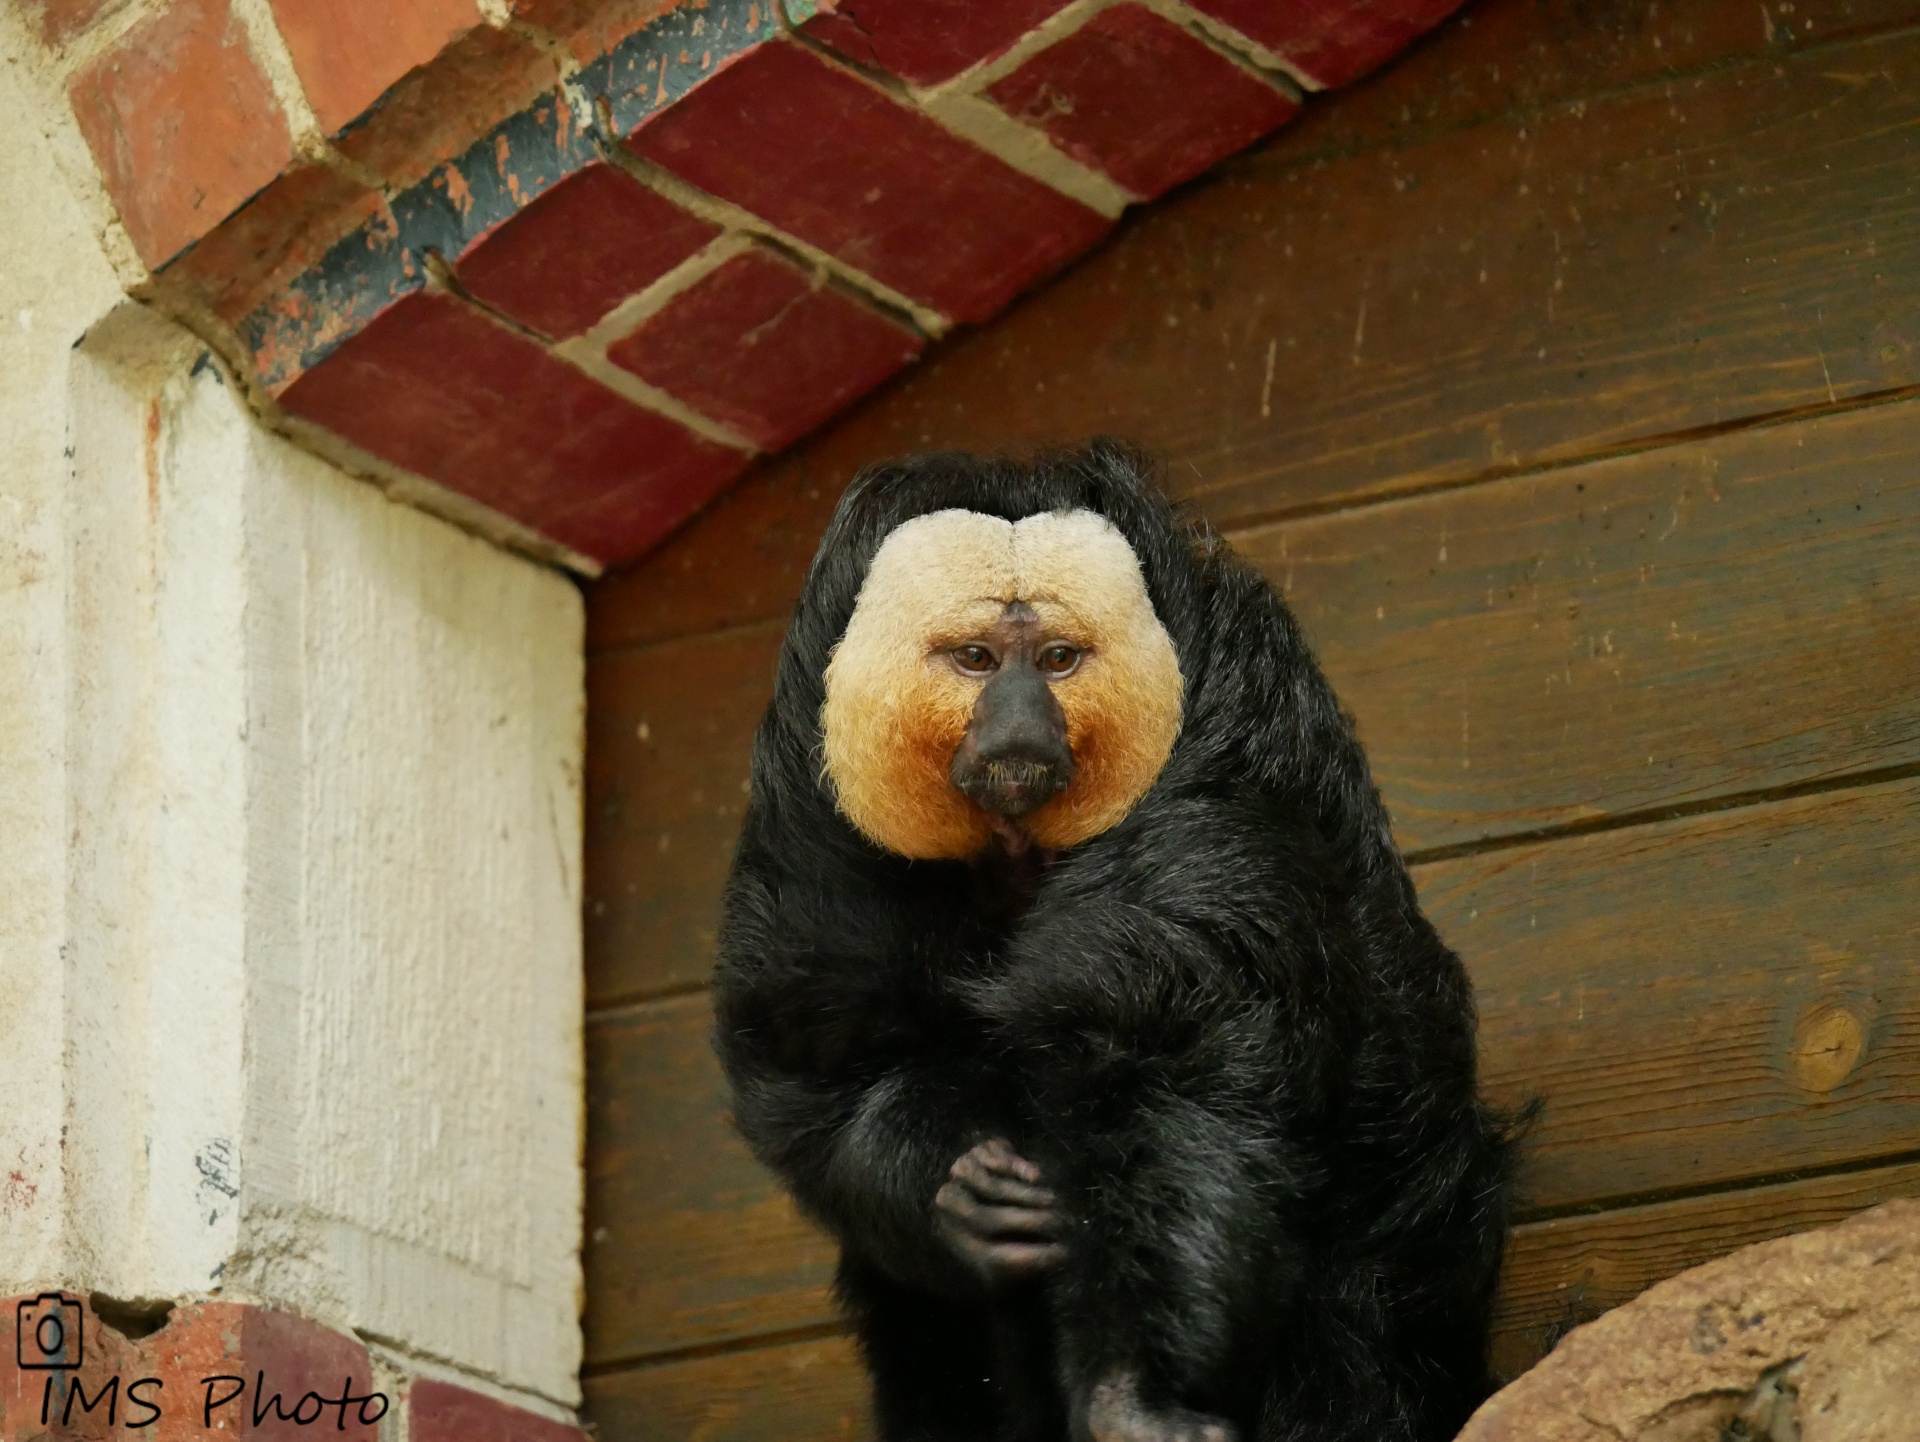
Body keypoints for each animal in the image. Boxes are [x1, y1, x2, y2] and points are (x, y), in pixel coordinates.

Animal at [714, 443, 1520, 1442]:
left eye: (1058, 661)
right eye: (977, 660)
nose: (1019, 723)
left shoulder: (1228, 759)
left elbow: (1173, 1065)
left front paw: (1133, 1393)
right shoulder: (810, 804)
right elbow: (821, 1064)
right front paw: (953, 1192)